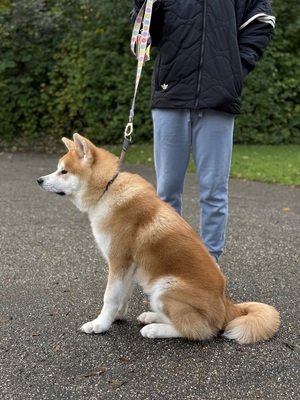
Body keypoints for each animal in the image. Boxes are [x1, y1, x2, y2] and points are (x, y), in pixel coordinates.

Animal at [37, 134, 278, 344]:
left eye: (63, 171)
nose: (39, 180)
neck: (107, 189)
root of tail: (227, 305)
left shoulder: (119, 261)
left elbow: (110, 297)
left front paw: (100, 324)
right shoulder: (129, 267)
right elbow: (122, 295)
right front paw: (116, 317)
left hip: (165, 287)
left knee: (196, 330)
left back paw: (154, 329)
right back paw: (151, 316)